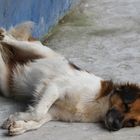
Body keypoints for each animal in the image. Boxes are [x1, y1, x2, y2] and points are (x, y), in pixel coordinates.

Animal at [0, 22, 139, 136]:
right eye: (126, 106)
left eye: (131, 122)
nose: (116, 127)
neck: (98, 104)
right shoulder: (55, 87)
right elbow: (38, 112)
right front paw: (15, 118)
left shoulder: (54, 112)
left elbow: (38, 120)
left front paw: (18, 124)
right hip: (38, 50)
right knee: (13, 40)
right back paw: (4, 36)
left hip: (6, 83)